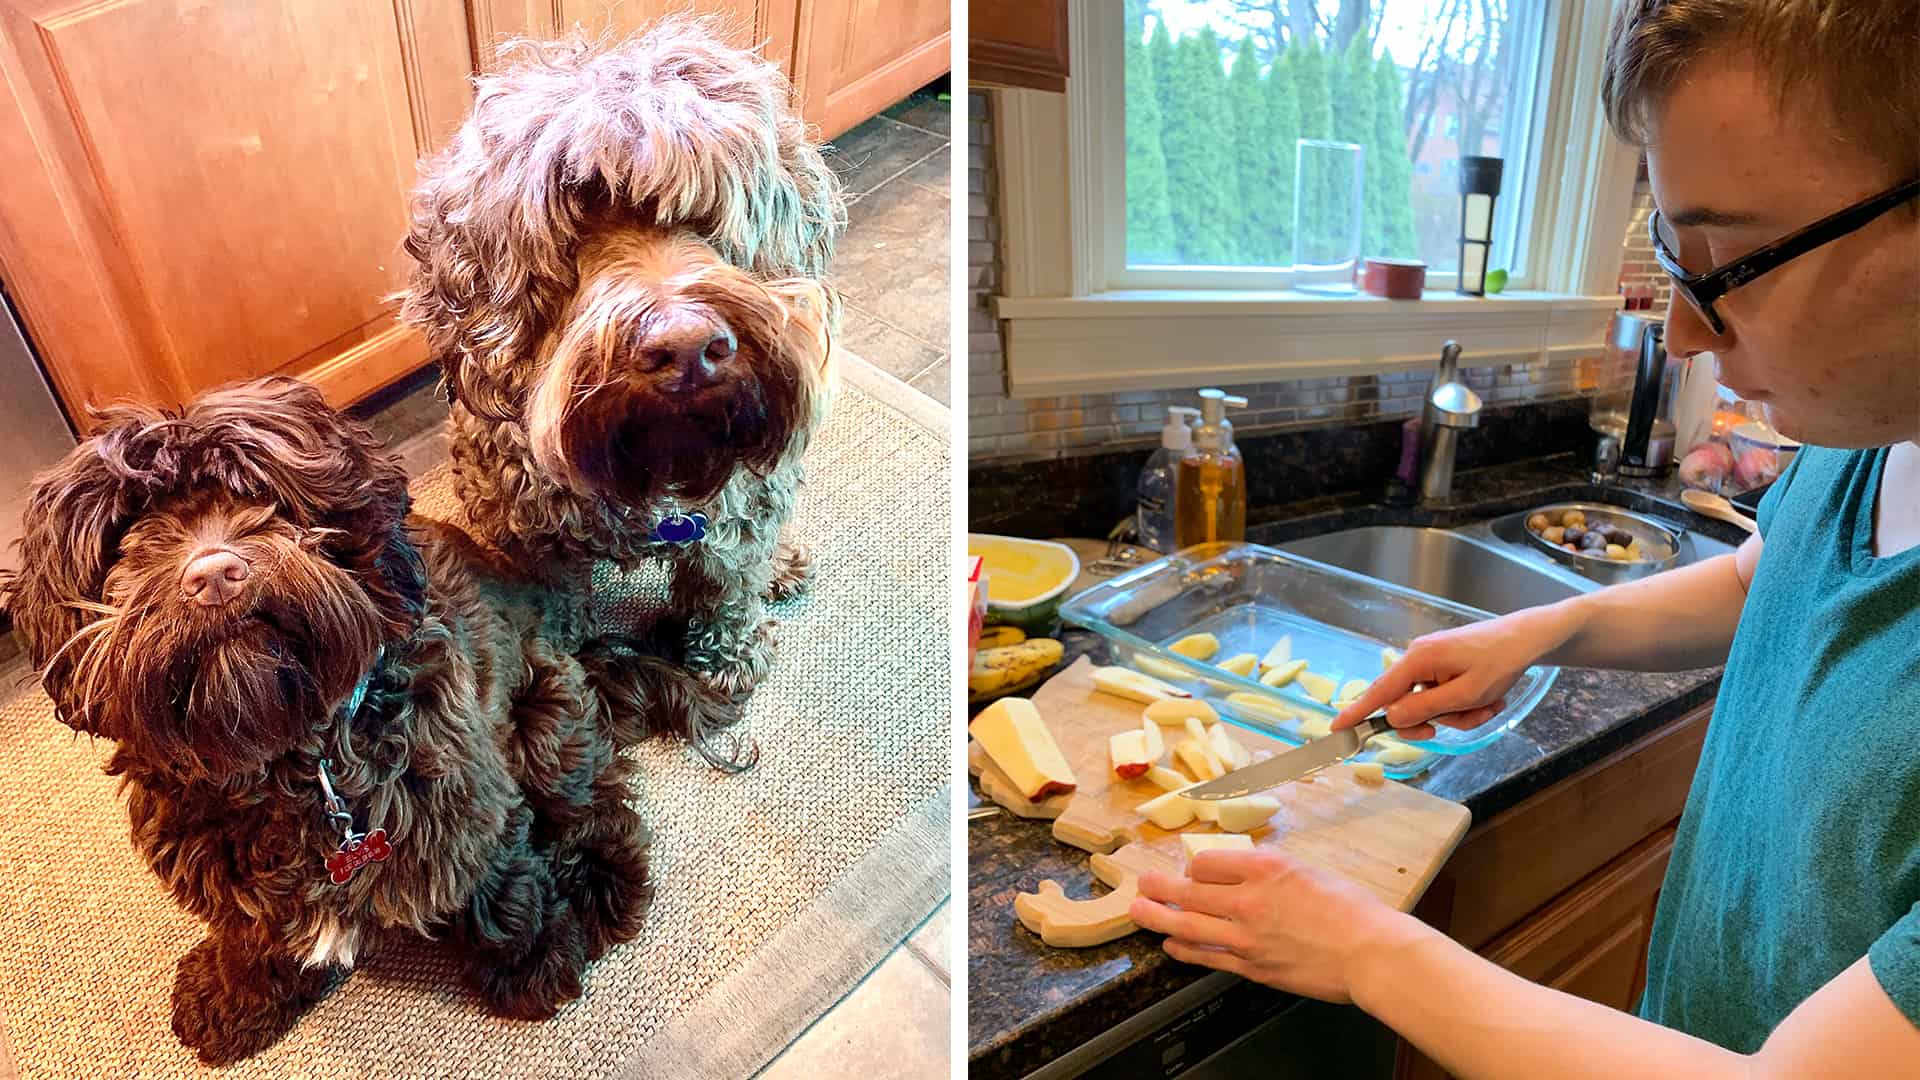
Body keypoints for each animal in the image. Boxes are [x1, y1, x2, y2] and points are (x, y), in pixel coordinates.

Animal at [5, 376, 725, 1060]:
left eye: (258, 495)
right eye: (128, 531)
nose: (214, 574)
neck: (290, 758)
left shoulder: (463, 802)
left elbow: (502, 885)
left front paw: (532, 960)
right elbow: (251, 931)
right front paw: (234, 995)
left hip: (546, 718)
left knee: (591, 803)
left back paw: (599, 883)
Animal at [401, 23, 844, 699]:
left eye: (704, 215)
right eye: (576, 227)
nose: (688, 347)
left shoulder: (740, 509)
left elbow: (727, 582)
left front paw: (727, 655)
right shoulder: (534, 530)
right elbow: (557, 595)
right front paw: (562, 653)